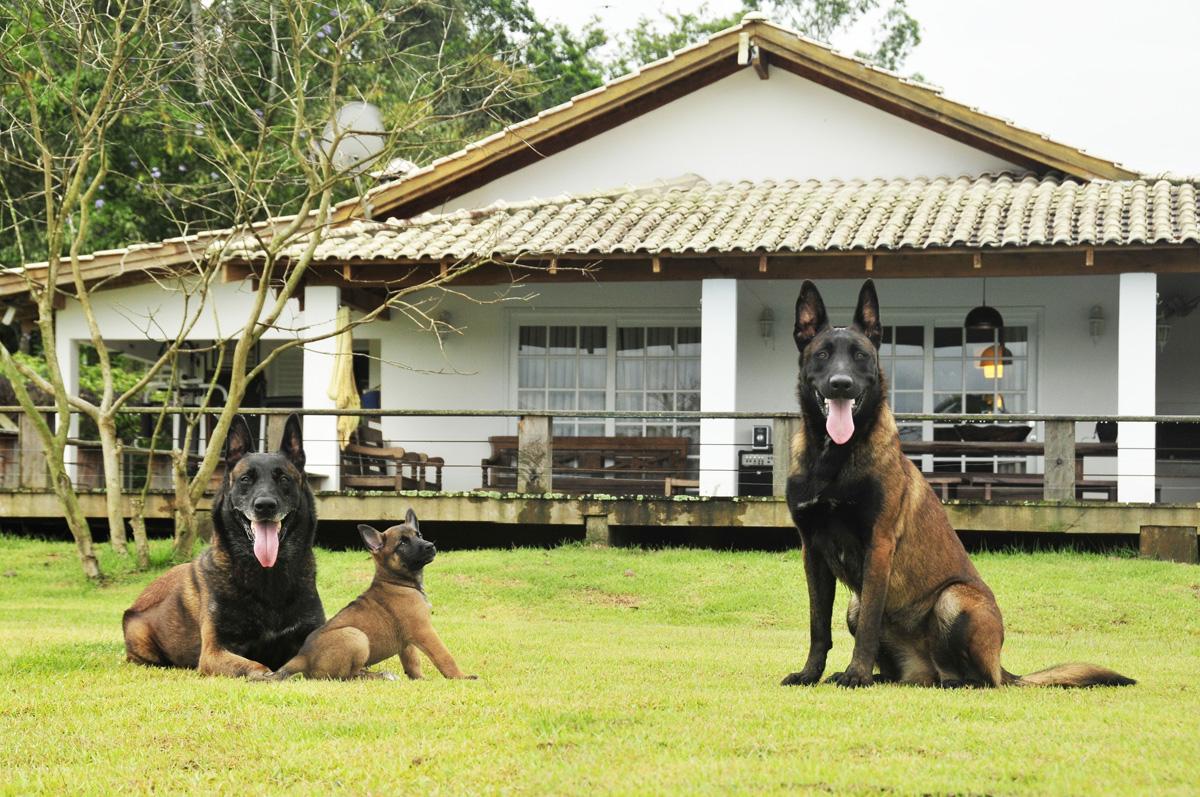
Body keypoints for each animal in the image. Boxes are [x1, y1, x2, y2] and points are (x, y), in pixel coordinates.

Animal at [121, 412, 324, 681]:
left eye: (284, 479)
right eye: (245, 479)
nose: (265, 506)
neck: (268, 578)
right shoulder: (214, 652)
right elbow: (255, 667)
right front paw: (267, 674)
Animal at [271, 506, 472, 681]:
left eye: (419, 536)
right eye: (403, 543)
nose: (430, 546)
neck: (396, 581)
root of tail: (302, 656)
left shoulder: (407, 641)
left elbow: (412, 661)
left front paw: (419, 679)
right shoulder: (424, 631)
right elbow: (444, 656)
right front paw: (460, 676)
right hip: (356, 637)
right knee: (347, 677)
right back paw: (378, 676)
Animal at [782, 282, 1128, 691]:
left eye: (860, 356)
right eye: (822, 355)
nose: (841, 385)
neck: (832, 458)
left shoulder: (878, 547)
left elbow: (868, 625)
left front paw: (856, 675)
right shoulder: (813, 552)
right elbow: (818, 626)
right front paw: (810, 674)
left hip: (953, 597)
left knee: (979, 678)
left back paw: (948, 681)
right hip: (860, 607)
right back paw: (891, 677)